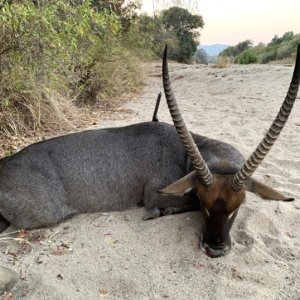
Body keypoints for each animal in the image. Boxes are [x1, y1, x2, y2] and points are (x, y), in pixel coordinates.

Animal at [0, 45, 298, 258]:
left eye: (240, 204)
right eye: (204, 201)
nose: (215, 250)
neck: (185, 151)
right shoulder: (155, 193)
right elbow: (172, 203)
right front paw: (161, 212)